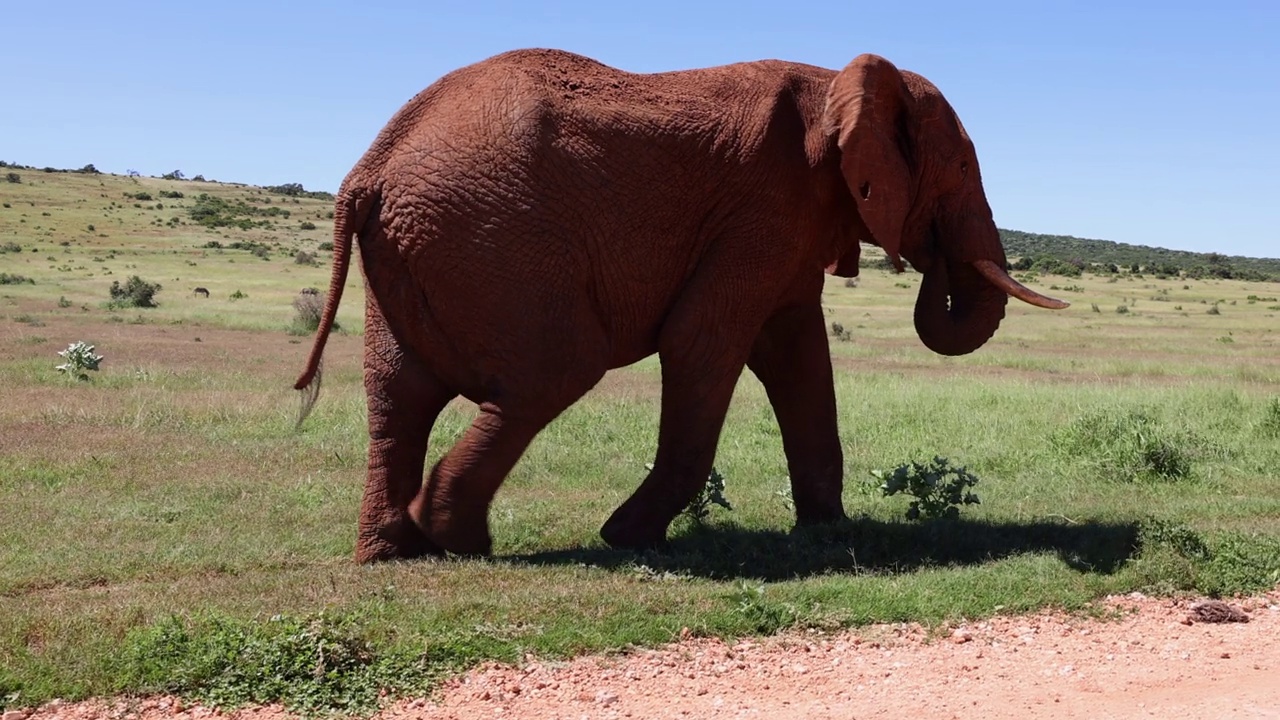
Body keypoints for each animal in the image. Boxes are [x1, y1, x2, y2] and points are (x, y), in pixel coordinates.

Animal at [294, 47, 1064, 563]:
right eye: (960, 167)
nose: (932, 254)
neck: (836, 82)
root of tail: (367, 171)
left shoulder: (785, 223)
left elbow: (798, 357)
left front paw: (828, 533)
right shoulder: (765, 207)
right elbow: (704, 342)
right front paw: (626, 539)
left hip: (423, 246)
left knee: (398, 392)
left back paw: (395, 552)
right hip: (492, 236)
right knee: (554, 372)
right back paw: (455, 539)